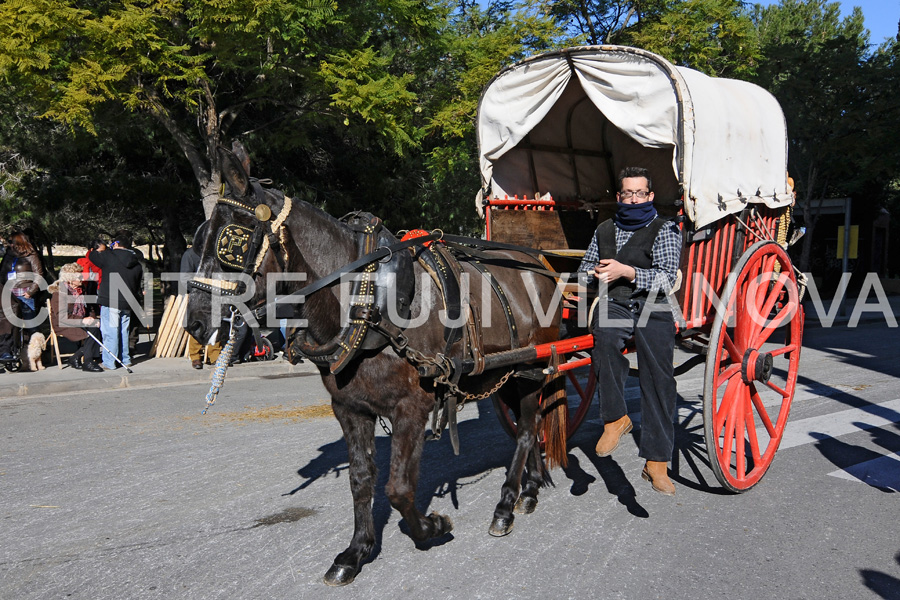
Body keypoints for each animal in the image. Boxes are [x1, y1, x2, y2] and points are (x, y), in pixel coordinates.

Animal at [185, 145, 568, 584]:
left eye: (232, 240)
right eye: (199, 241)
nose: (194, 322)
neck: (364, 303)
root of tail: (540, 266)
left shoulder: (412, 407)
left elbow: (398, 488)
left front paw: (431, 527)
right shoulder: (350, 409)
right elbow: (361, 480)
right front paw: (356, 552)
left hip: (532, 368)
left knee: (527, 431)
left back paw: (506, 505)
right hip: (504, 373)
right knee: (531, 426)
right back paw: (530, 489)